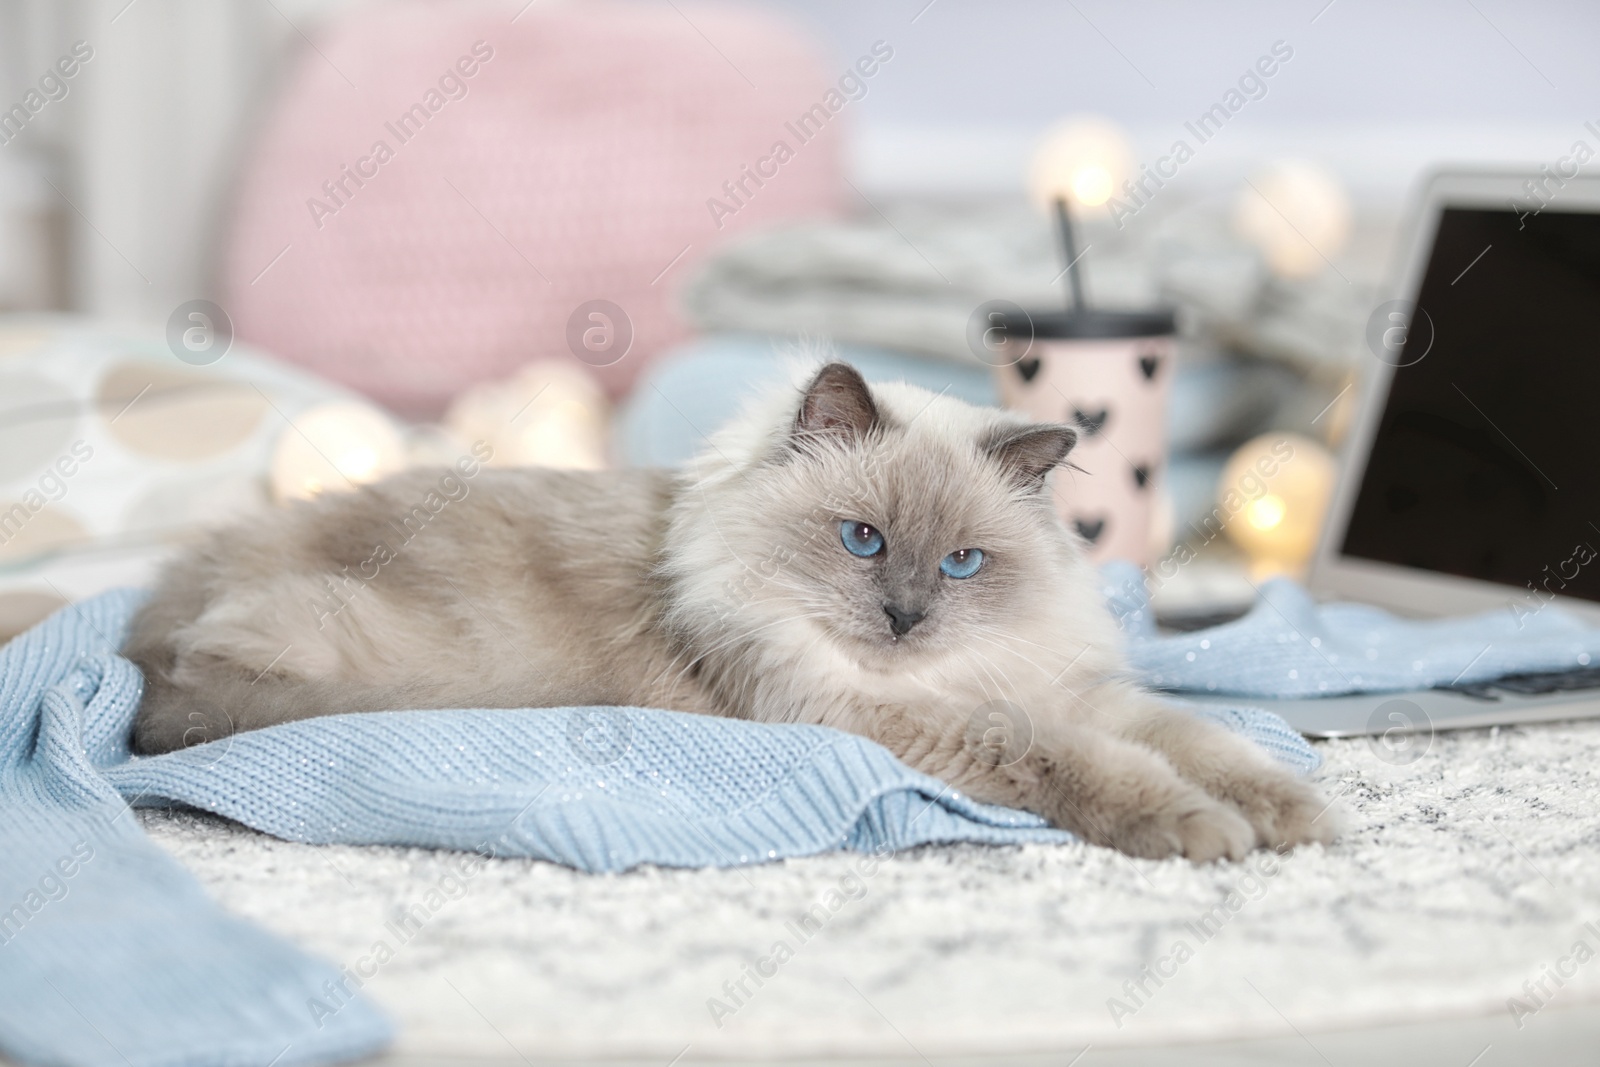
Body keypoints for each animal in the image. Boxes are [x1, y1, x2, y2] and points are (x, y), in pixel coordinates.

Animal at [128, 363, 1337, 863]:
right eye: (862, 541)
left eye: (960, 564)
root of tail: (150, 622)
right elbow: (1099, 767)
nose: (904, 618)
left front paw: (1296, 818)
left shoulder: (1065, 688)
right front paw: (1204, 833)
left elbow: (1201, 741)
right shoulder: (906, 722)